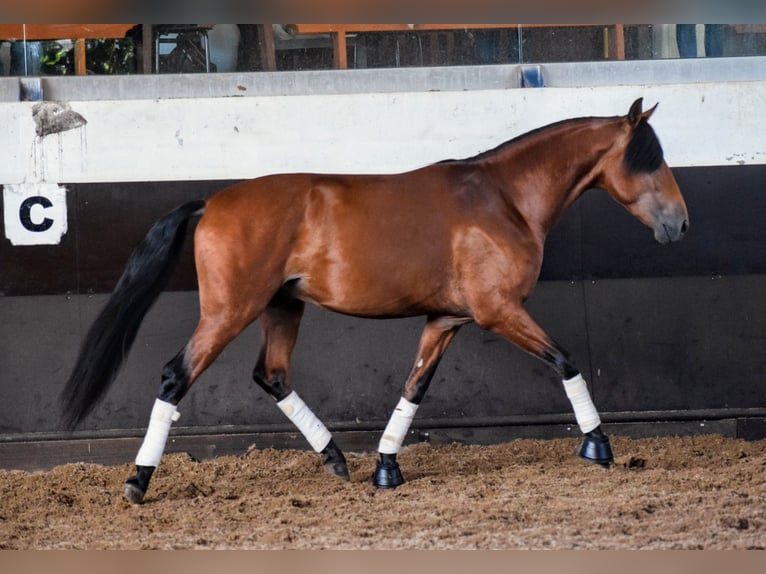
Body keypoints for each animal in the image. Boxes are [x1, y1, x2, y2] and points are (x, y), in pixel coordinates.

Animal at [63, 98, 692, 504]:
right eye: (650, 159)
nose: (680, 225)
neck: (504, 199)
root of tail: (211, 203)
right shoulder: (499, 312)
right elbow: (565, 360)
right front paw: (599, 445)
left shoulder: (446, 320)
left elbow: (413, 389)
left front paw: (386, 469)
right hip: (228, 312)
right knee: (176, 376)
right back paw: (138, 482)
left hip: (281, 307)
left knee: (271, 374)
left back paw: (336, 459)